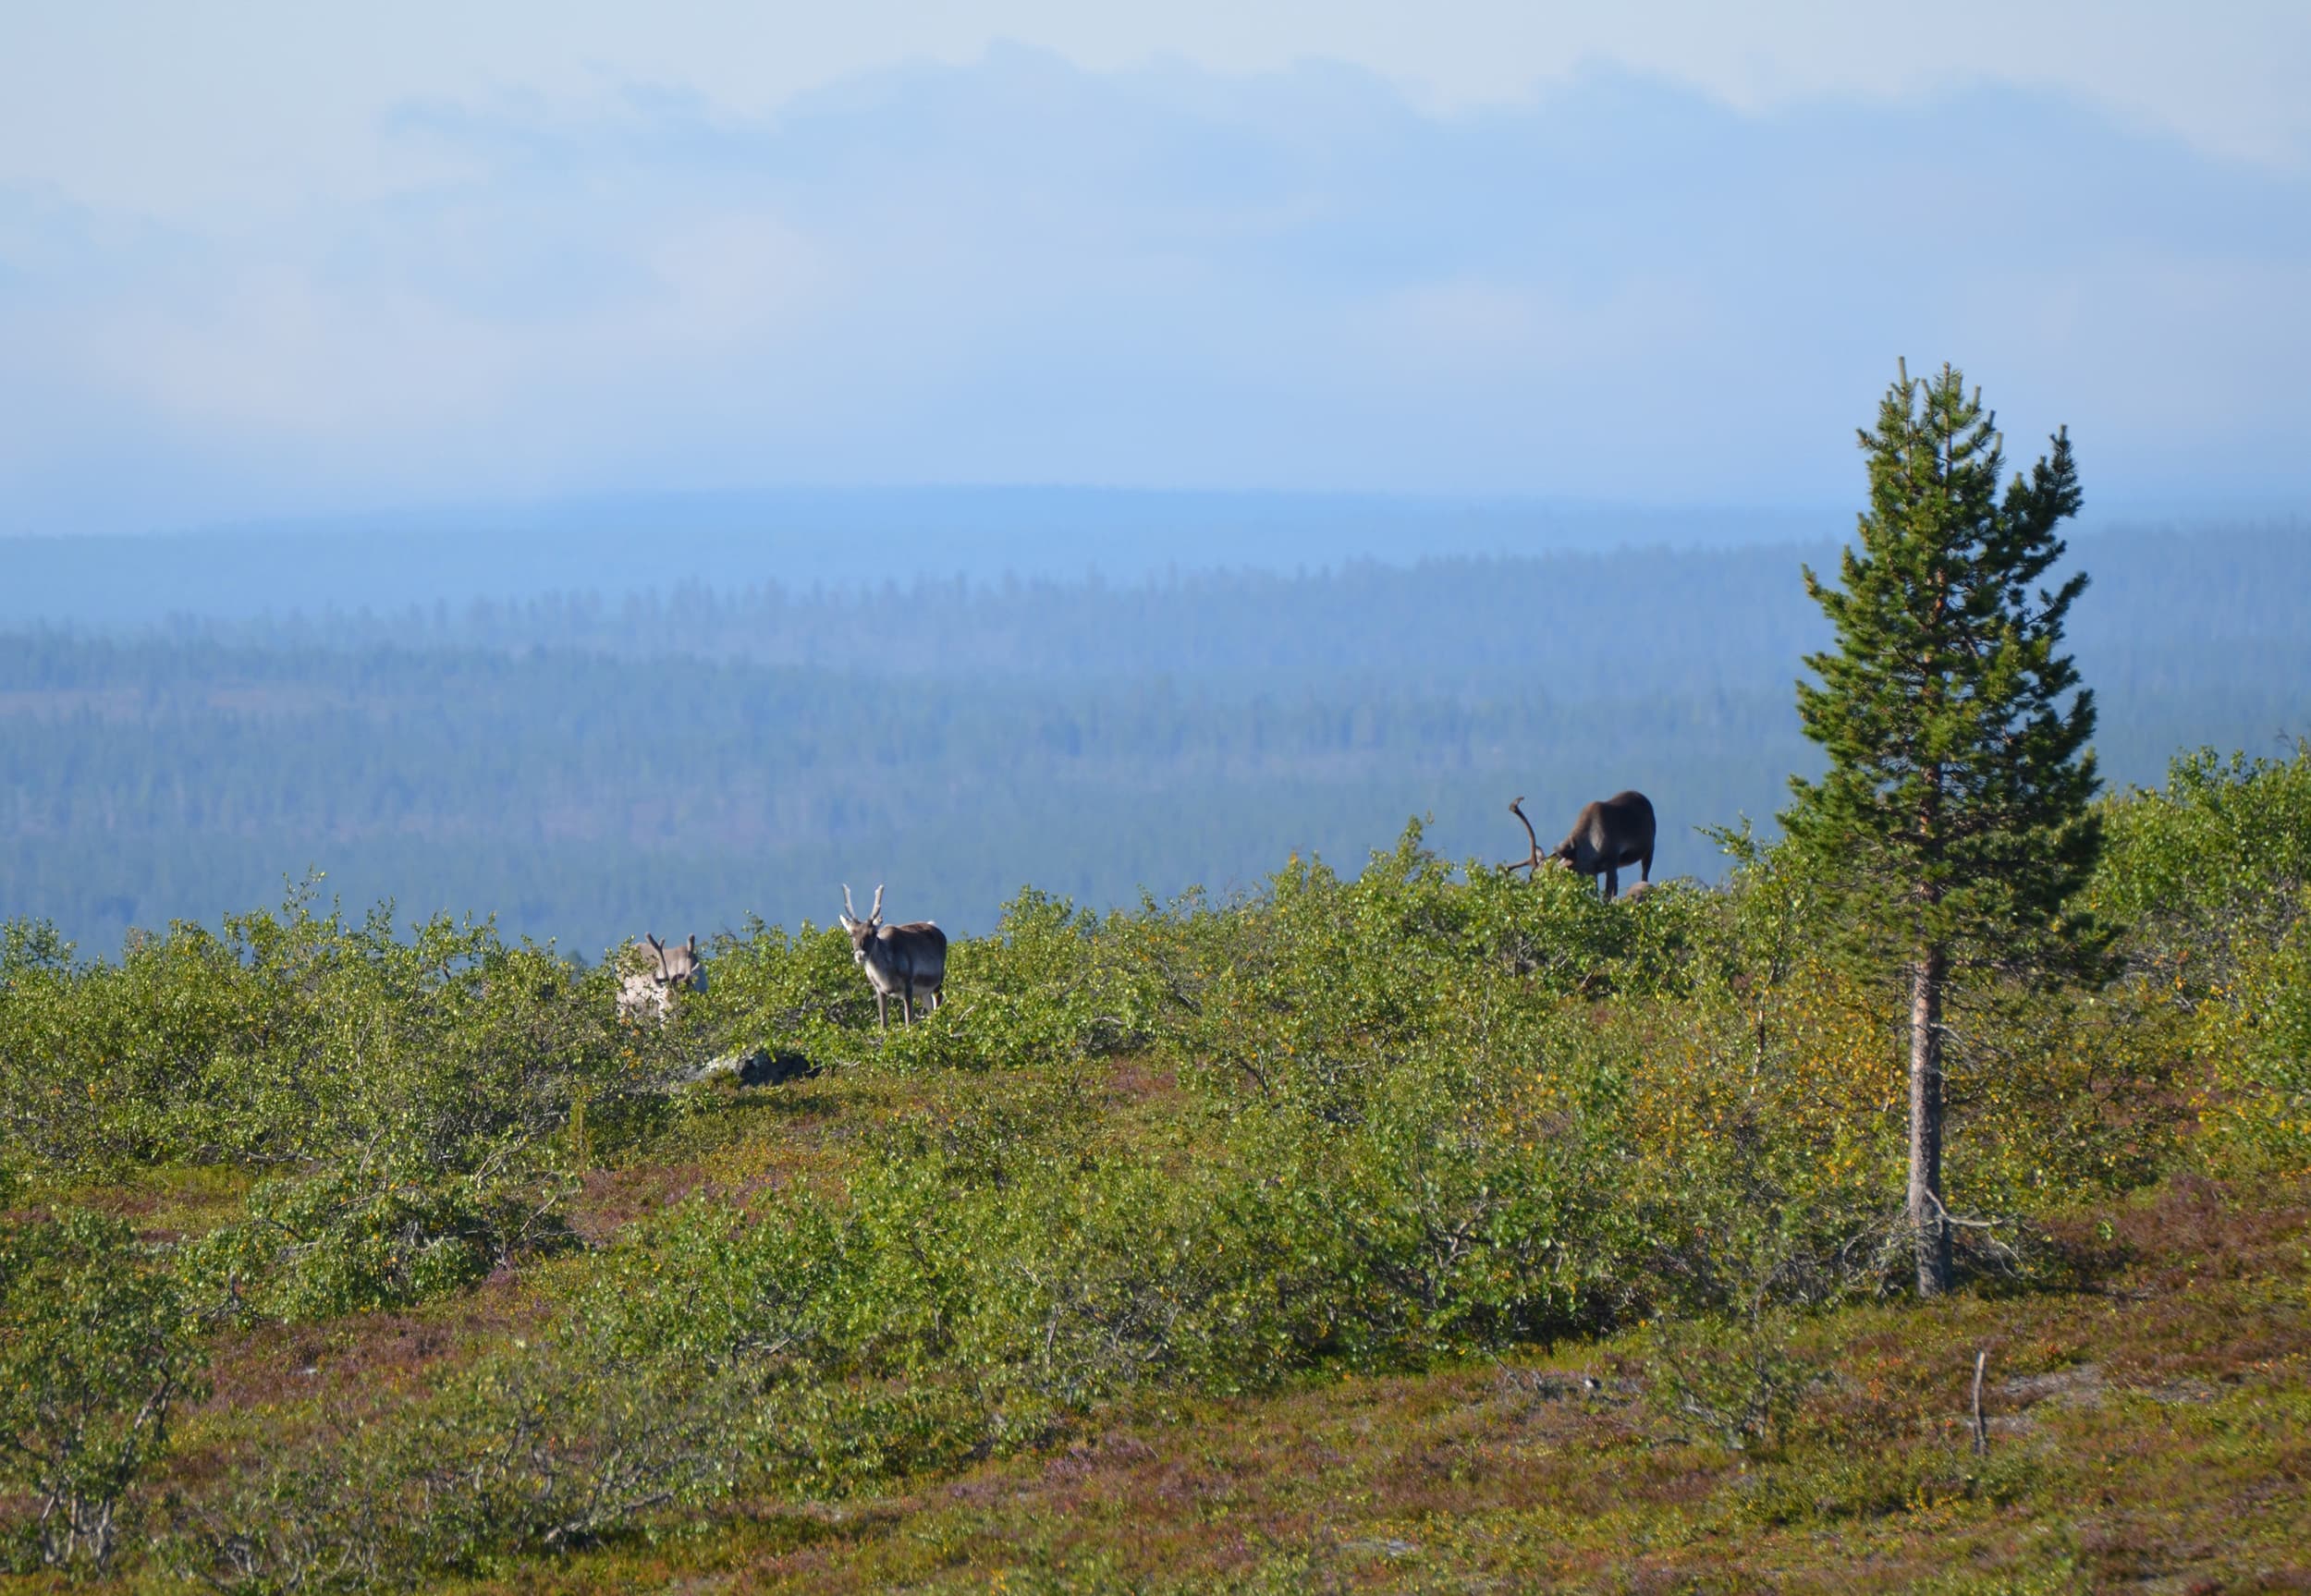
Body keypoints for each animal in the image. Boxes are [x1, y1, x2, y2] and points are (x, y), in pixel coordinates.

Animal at [838, 884, 948, 1032]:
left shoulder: (908, 985)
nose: (860, 955)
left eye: (873, 933)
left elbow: (909, 1022)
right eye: (851, 934)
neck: (886, 976)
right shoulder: (879, 990)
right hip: (923, 993)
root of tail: (937, 929)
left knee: (938, 1004)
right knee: (931, 1010)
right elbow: (883, 1024)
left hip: (938, 983)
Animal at [1507, 792, 1656, 901]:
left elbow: (1606, 897)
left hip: (1649, 849)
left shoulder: (1612, 862)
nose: (1530, 893)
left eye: (1547, 879)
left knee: (1644, 875)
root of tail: (1643, 797)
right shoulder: (1593, 871)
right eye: (1532, 876)